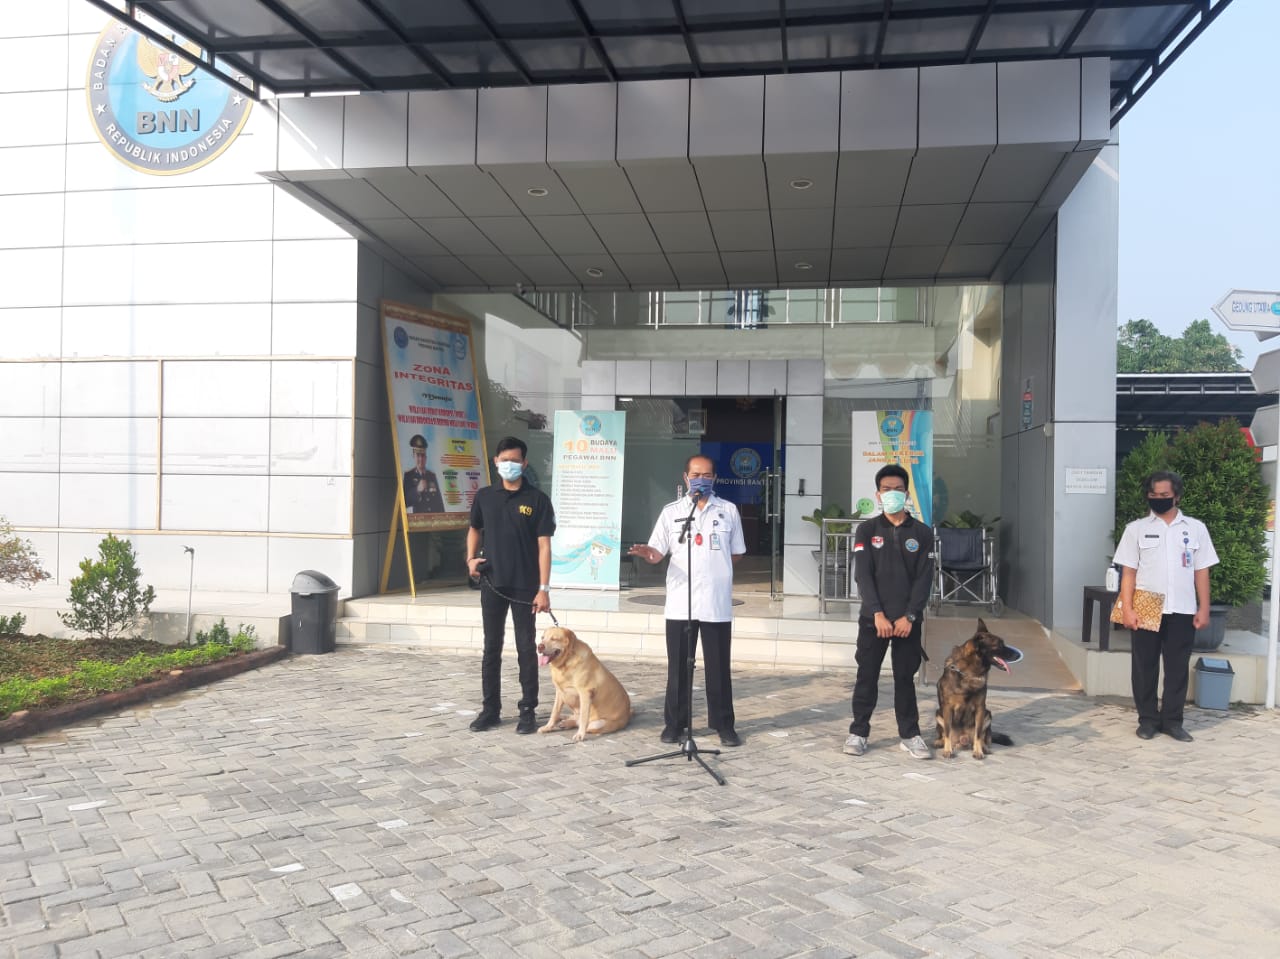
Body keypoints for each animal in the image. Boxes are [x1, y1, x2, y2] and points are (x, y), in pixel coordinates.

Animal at [933, 618, 1015, 759]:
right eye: (999, 644)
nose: (1016, 654)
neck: (969, 672)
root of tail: (963, 739)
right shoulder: (947, 708)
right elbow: (948, 731)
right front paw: (948, 750)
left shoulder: (980, 709)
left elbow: (978, 733)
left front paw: (978, 751)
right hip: (939, 713)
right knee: (943, 734)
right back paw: (940, 742)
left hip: (988, 714)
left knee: (985, 736)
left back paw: (984, 747)